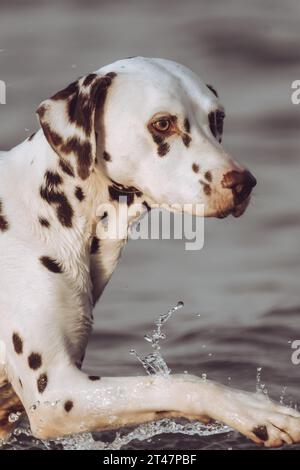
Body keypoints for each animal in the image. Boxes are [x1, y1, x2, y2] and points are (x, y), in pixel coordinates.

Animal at [0, 57, 300, 446]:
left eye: (217, 118)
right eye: (163, 123)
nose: (243, 183)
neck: (42, 209)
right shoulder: (56, 396)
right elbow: (181, 384)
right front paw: (256, 411)